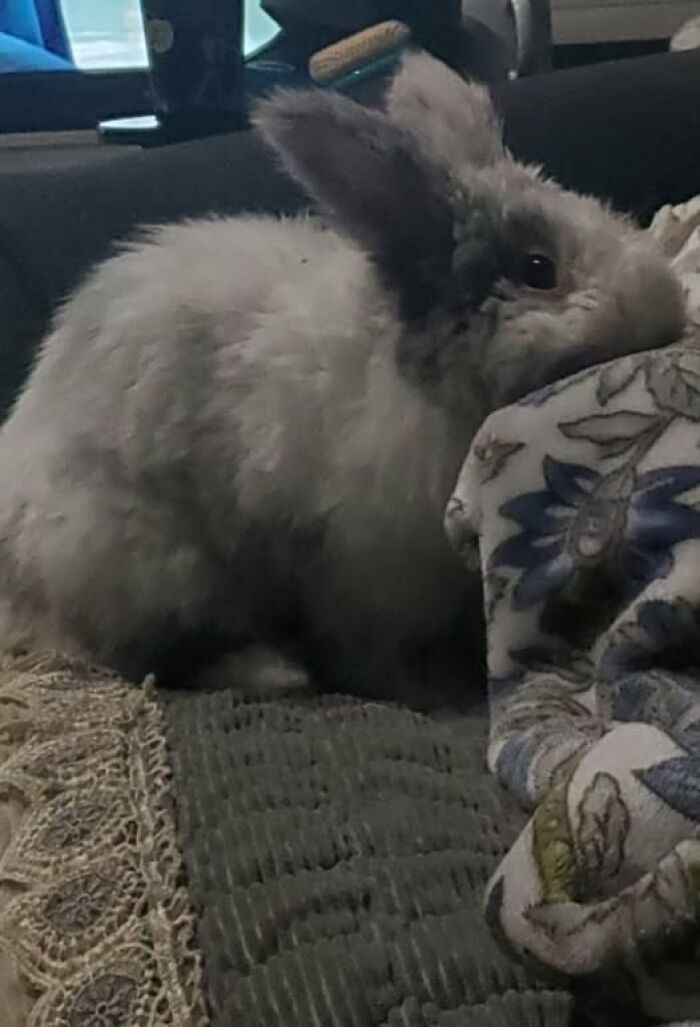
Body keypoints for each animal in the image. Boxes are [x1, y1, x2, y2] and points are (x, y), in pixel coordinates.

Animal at [0, 52, 686, 700]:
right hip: (157, 569)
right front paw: (434, 694)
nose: (669, 314)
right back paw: (278, 673)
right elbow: (376, 659)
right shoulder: (362, 585)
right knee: (151, 656)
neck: (422, 384)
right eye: (539, 268)